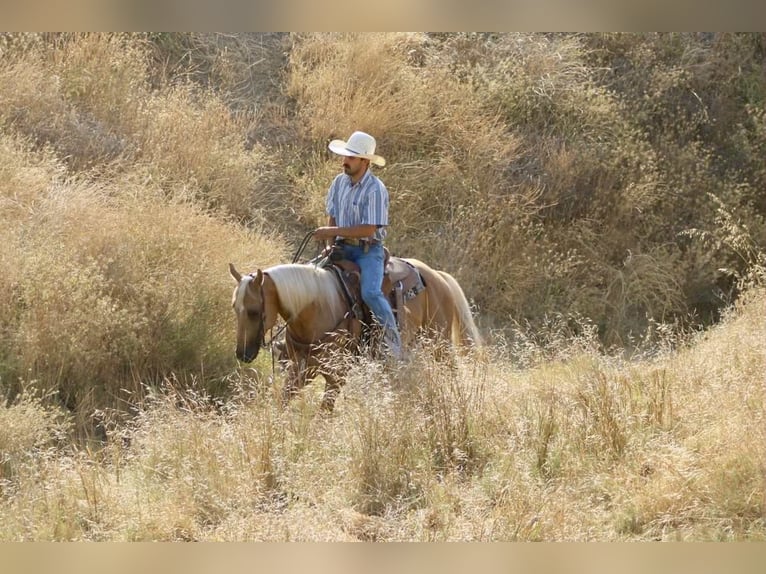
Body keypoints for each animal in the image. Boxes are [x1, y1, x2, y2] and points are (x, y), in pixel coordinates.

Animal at [229, 257, 481, 410]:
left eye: (253, 311)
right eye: (235, 308)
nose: (242, 354)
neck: (317, 307)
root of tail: (437, 276)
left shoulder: (336, 376)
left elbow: (324, 413)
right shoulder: (302, 370)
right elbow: (282, 402)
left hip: (439, 343)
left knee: (451, 372)